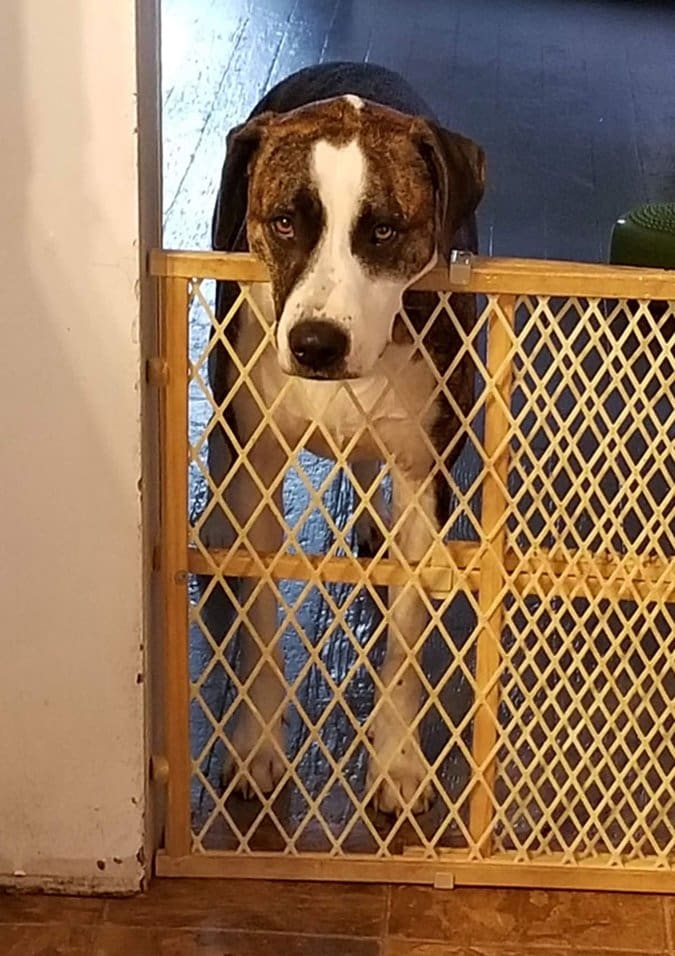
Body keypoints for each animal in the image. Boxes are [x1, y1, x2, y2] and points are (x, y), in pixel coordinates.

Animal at [202, 61, 486, 816]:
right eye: (282, 223)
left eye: (384, 230)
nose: (315, 343)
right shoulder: (259, 468)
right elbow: (261, 623)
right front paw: (257, 744)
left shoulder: (424, 479)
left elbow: (405, 645)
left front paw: (396, 760)